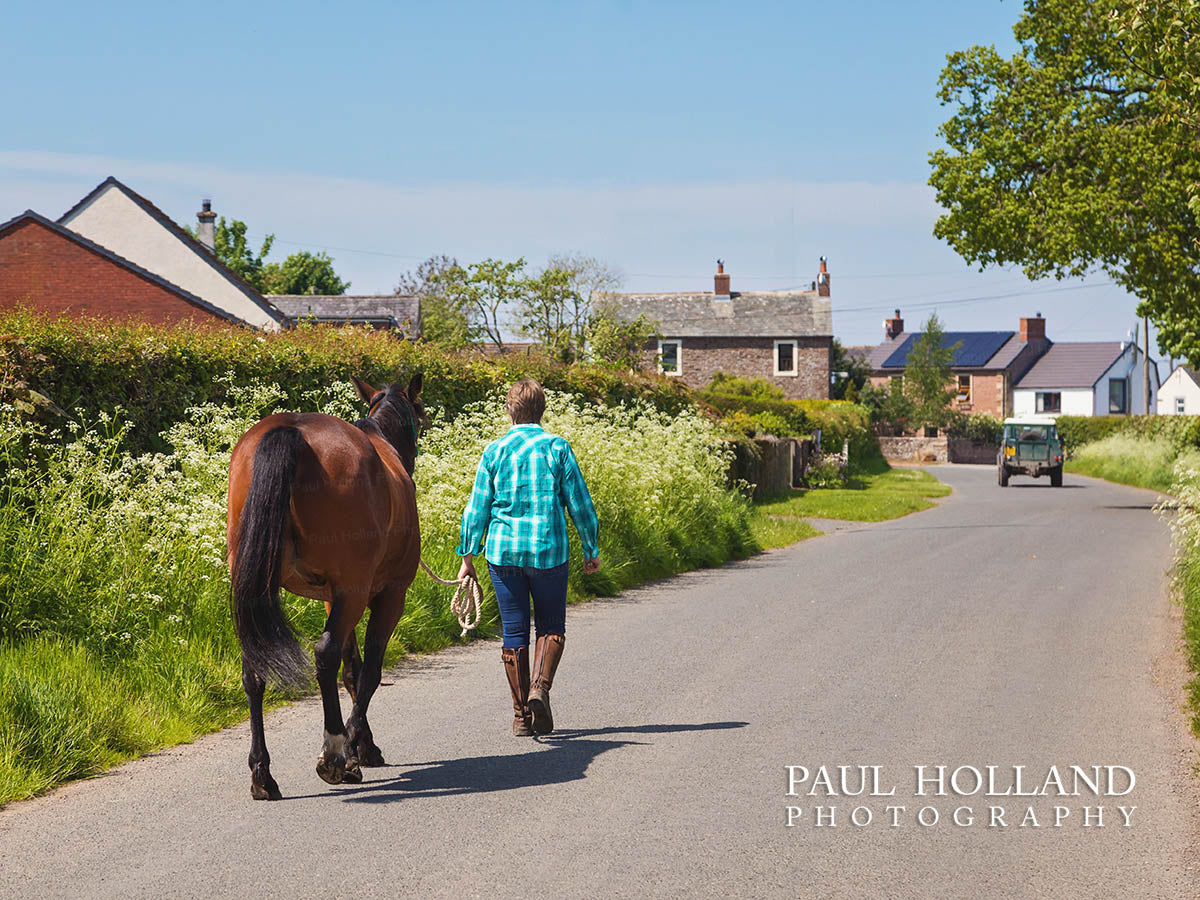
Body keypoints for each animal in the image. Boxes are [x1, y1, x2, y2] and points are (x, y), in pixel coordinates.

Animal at [225, 374, 427, 801]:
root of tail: (290, 431)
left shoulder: (333, 598)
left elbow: (351, 671)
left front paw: (364, 746)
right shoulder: (385, 595)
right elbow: (368, 673)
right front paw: (353, 750)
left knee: (254, 669)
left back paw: (262, 773)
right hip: (356, 591)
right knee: (325, 655)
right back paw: (334, 754)